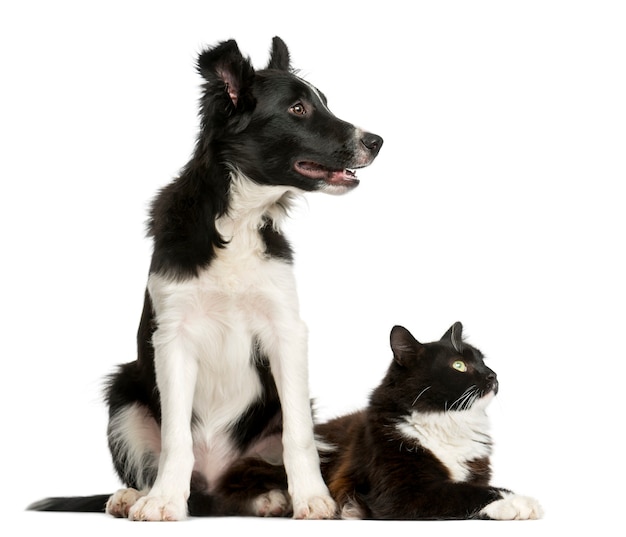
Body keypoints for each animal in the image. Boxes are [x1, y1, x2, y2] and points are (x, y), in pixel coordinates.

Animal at [210, 322, 540, 520]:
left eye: (482, 360)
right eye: (459, 365)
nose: (493, 376)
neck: (446, 422)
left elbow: (473, 487)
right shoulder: (401, 492)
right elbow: (464, 493)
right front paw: (518, 502)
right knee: (226, 492)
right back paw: (274, 500)